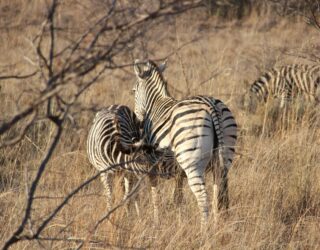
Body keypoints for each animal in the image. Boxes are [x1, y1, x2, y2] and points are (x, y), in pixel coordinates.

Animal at [132, 59, 238, 229]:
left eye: (133, 91)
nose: (138, 121)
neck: (155, 105)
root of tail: (211, 104)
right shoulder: (178, 169)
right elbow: (178, 196)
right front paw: (179, 221)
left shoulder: (152, 162)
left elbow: (155, 194)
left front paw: (157, 223)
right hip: (225, 155)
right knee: (219, 191)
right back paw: (216, 227)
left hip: (192, 163)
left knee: (202, 196)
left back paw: (204, 230)